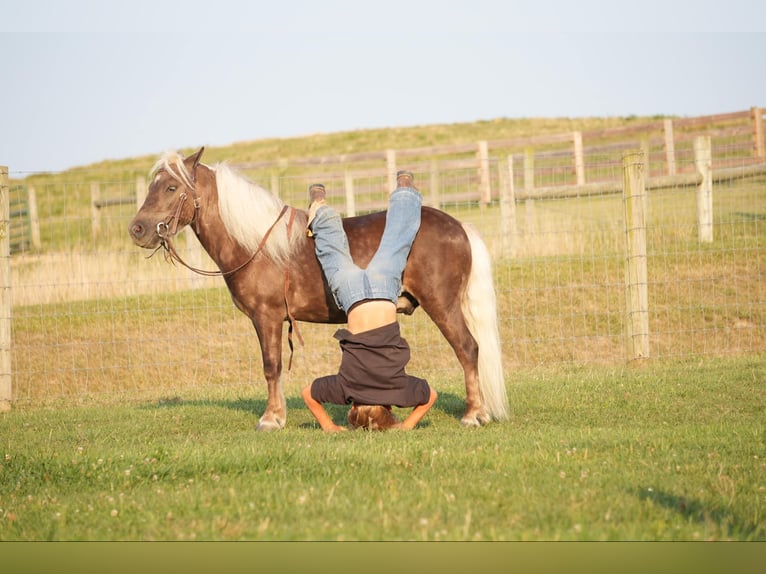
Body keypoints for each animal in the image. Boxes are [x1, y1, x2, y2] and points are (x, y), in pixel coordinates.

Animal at [128, 148, 508, 432]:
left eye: (171, 188)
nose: (137, 229)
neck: (259, 246)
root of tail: (459, 226)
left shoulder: (266, 317)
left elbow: (271, 366)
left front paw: (271, 419)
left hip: (441, 304)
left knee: (468, 349)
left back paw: (473, 415)